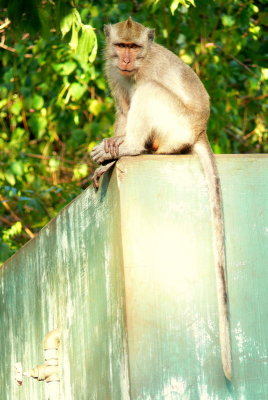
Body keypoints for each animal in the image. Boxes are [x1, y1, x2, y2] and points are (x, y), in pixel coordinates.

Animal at [91, 17, 231, 380]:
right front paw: (110, 145)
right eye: (121, 47)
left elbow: (142, 93)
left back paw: (130, 148)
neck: (136, 65)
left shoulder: (147, 70)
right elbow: (123, 109)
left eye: (135, 47)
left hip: (177, 127)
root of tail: (200, 131)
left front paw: (118, 147)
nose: (127, 60)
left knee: (149, 92)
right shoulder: (114, 71)